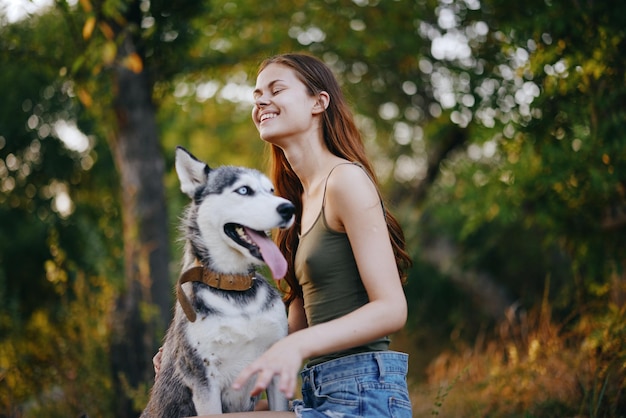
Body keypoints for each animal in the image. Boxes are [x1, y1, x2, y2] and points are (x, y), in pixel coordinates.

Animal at [141, 146, 294, 414]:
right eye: (244, 190)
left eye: (271, 191)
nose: (289, 208)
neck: (235, 290)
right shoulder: (203, 379)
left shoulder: (275, 364)